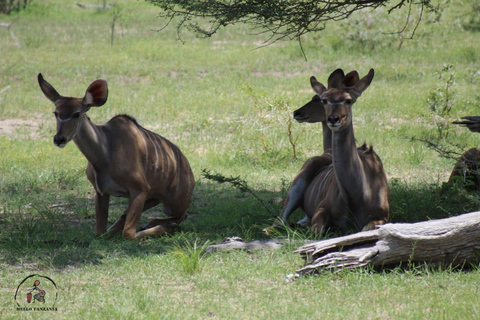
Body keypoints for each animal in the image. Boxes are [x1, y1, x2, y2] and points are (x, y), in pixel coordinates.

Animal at [38, 74, 195, 240]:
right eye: (56, 113)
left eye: (77, 113)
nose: (59, 139)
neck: (104, 156)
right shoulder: (101, 192)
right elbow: (100, 232)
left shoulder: (140, 189)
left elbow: (128, 233)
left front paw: (161, 228)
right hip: (155, 197)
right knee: (127, 214)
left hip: (172, 202)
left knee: (182, 215)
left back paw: (165, 225)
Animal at [266, 69, 390, 235]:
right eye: (324, 100)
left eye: (348, 100)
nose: (333, 119)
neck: (358, 195)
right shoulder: (321, 209)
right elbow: (317, 230)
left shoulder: (383, 217)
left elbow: (366, 228)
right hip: (296, 186)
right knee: (278, 222)